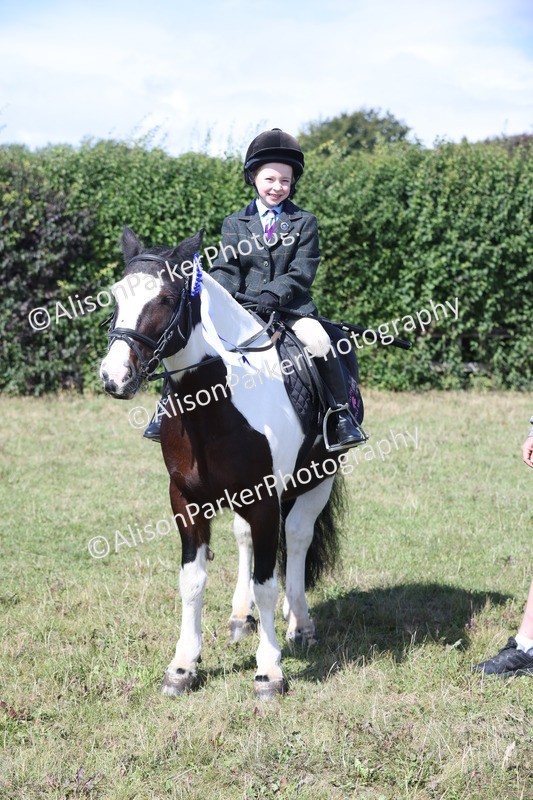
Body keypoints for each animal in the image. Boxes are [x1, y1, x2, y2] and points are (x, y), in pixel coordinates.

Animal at [99, 226, 361, 699]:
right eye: (115, 296)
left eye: (166, 299)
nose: (114, 377)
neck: (215, 402)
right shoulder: (186, 500)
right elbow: (193, 581)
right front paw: (183, 667)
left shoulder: (265, 501)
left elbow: (267, 584)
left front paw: (269, 671)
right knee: (245, 540)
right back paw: (242, 618)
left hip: (320, 478)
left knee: (298, 539)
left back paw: (300, 623)